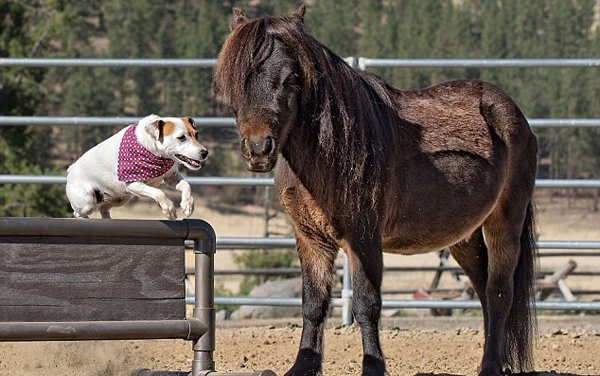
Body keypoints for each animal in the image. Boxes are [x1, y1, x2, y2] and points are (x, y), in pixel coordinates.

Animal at [67, 114, 209, 220]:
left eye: (196, 134)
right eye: (181, 137)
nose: (205, 153)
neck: (154, 152)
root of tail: (70, 170)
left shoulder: (170, 177)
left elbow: (186, 185)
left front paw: (187, 205)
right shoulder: (133, 184)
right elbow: (159, 192)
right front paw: (169, 210)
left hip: (120, 198)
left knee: (103, 208)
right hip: (87, 202)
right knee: (79, 212)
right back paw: (84, 219)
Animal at [214, 5, 540, 376]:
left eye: (292, 78)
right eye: (237, 81)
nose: (259, 148)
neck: (332, 151)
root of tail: (513, 114)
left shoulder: (364, 238)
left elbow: (366, 305)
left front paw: (372, 366)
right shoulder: (310, 237)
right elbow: (313, 303)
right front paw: (303, 366)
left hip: (506, 220)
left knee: (499, 292)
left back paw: (490, 366)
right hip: (464, 235)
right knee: (484, 290)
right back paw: (497, 362)